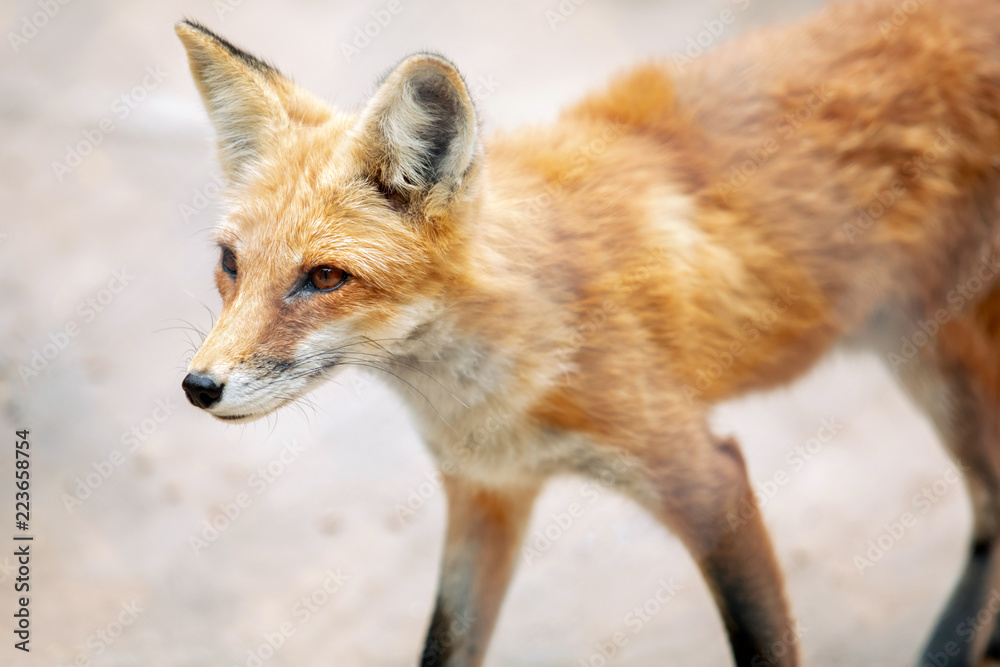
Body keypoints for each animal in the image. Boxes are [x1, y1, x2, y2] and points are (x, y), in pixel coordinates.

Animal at [175, 0, 1000, 665]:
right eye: (229, 263)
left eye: (324, 277)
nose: (197, 386)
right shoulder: (488, 494)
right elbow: (445, 644)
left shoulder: (707, 478)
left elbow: (763, 642)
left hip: (935, 358)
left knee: (991, 504)